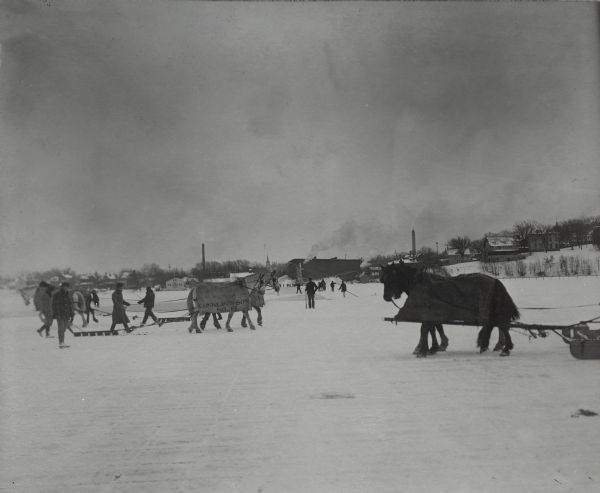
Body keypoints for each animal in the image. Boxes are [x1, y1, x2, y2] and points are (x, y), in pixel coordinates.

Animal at [382, 262, 516, 358]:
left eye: (392, 279)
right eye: (383, 280)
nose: (386, 297)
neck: (421, 285)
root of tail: (495, 280)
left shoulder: (428, 312)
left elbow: (426, 329)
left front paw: (424, 349)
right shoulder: (432, 313)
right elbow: (434, 328)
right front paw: (434, 347)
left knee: (501, 325)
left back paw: (505, 348)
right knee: (495, 325)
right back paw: (491, 344)